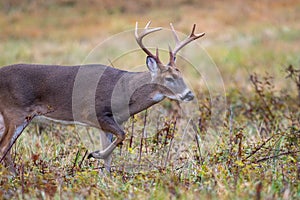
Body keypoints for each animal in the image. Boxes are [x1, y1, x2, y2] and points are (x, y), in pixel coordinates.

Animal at [0, 21, 204, 172]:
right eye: (169, 78)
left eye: (181, 75)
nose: (189, 94)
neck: (123, 92)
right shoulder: (94, 114)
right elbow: (122, 136)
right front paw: (94, 154)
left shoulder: (109, 122)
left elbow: (111, 153)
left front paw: (106, 176)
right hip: (15, 112)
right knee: (4, 146)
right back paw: (13, 176)